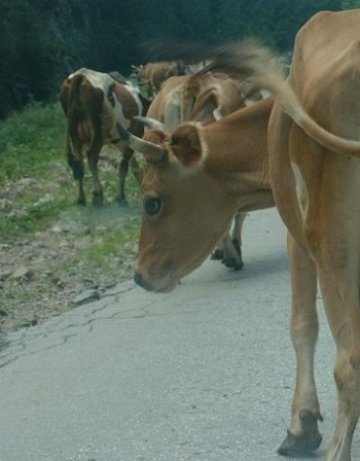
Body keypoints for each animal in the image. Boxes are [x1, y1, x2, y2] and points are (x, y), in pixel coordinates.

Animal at [59, 67, 149, 206]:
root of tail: (80, 75)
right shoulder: (132, 136)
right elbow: (124, 166)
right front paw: (121, 197)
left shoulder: (120, 141)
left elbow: (133, 166)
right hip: (97, 131)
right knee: (91, 157)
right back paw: (97, 195)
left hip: (75, 133)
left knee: (79, 162)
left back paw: (81, 198)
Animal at [117, 9, 360, 460]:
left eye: (151, 202)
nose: (140, 276)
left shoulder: (299, 238)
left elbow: (302, 325)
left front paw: (301, 426)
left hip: (334, 247)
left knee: (348, 361)